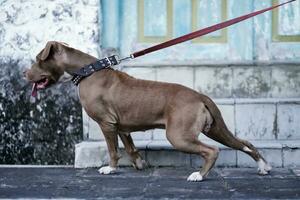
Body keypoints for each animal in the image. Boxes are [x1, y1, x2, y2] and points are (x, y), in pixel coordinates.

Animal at [24, 41, 272, 182]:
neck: (87, 71)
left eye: (38, 59)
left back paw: (199, 176)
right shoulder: (121, 126)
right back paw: (263, 167)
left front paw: (111, 169)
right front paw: (139, 164)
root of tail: (200, 95)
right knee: (244, 143)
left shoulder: (106, 123)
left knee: (211, 151)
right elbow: (130, 147)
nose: (25, 74)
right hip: (216, 129)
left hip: (179, 135)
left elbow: (112, 150)